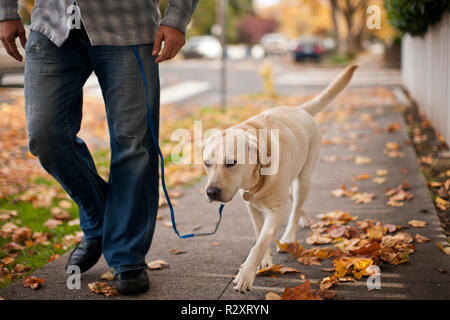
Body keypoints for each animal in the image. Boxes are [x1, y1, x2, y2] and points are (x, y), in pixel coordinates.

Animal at [202, 64, 356, 292]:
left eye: (231, 163)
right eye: (206, 163)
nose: (211, 192)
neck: (256, 178)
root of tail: (301, 109)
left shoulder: (276, 211)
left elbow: (261, 242)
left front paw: (246, 275)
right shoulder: (253, 209)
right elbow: (260, 235)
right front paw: (264, 262)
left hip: (303, 180)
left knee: (296, 207)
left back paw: (289, 235)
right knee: (296, 204)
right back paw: (305, 219)